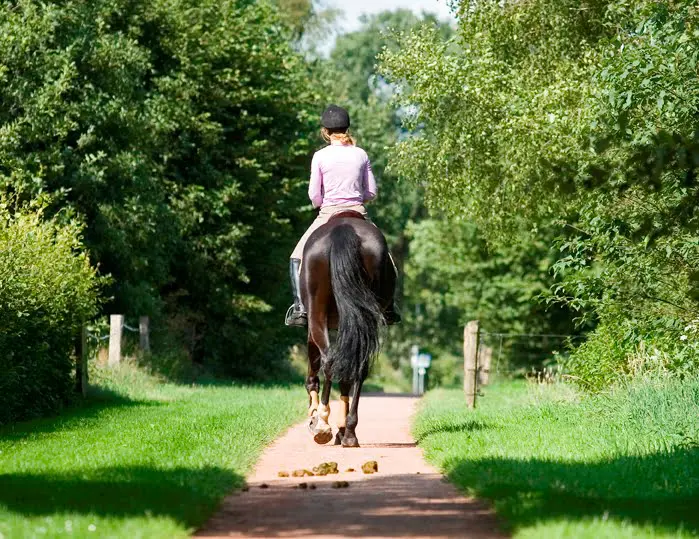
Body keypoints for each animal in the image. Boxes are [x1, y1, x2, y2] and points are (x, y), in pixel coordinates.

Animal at [301, 211, 396, 447]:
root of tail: (343, 228)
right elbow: (346, 376)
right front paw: (342, 430)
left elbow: (314, 372)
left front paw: (316, 418)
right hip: (364, 318)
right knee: (359, 367)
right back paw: (350, 433)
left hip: (316, 314)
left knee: (328, 361)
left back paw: (322, 423)